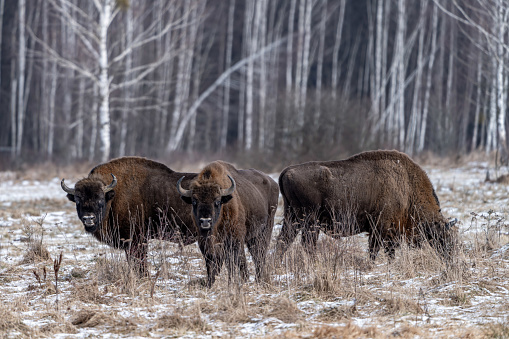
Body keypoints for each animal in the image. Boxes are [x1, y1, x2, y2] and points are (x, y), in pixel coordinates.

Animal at [60, 157, 197, 274]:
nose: (89, 218)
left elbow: (139, 261)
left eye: (100, 199)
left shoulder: (136, 239)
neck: (114, 196)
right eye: (78, 200)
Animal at [276, 151, 458, 260]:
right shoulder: (381, 228)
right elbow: (378, 250)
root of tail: (286, 171)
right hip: (310, 220)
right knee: (307, 244)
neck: (407, 187)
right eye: (442, 236)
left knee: (283, 240)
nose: (450, 256)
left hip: (292, 217)